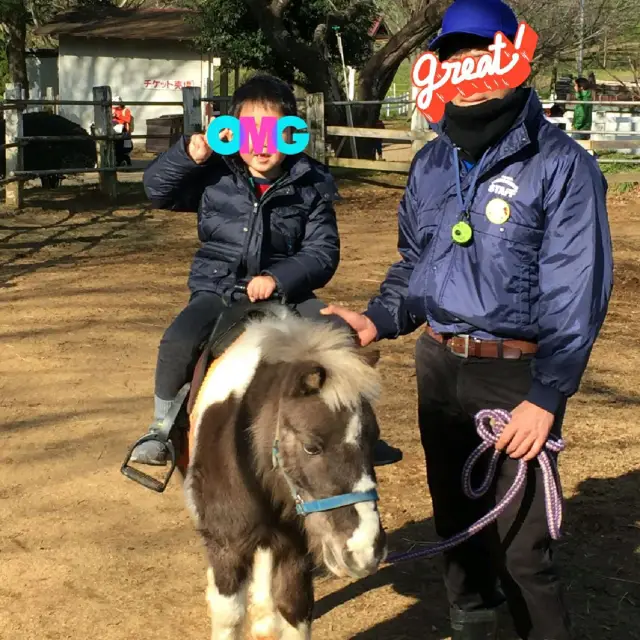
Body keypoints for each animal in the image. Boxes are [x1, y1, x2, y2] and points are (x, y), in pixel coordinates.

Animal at [182, 304, 388, 640]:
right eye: (311, 447)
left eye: (373, 439)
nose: (365, 550)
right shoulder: (227, 543)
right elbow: (228, 615)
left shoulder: (296, 546)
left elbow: (294, 607)